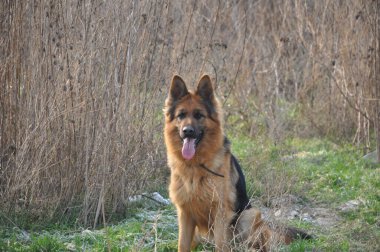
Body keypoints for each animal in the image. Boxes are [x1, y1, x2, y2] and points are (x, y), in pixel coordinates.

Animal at [164, 74, 312, 250]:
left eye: (199, 115)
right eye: (181, 115)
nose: (187, 132)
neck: (194, 166)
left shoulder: (220, 214)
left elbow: (221, 246)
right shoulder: (185, 214)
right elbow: (182, 245)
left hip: (248, 215)